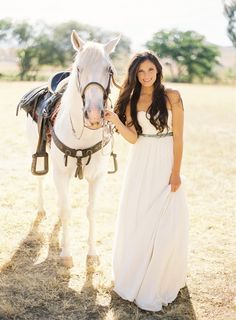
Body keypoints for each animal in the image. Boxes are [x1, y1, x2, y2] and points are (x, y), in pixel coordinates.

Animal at [26, 30, 120, 266]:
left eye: (109, 69)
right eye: (79, 69)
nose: (94, 115)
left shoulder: (97, 177)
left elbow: (91, 210)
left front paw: (92, 253)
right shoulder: (60, 172)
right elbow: (67, 210)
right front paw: (66, 254)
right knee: (41, 182)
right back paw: (41, 209)